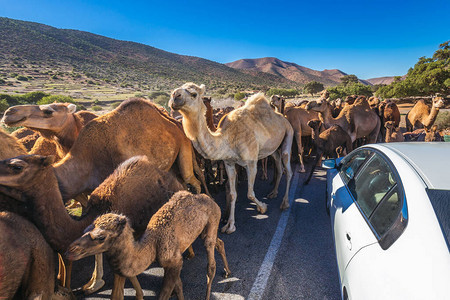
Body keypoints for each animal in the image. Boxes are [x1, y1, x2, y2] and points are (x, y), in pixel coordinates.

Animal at [67, 190, 232, 300]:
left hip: (213, 218)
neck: (152, 244)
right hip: (203, 229)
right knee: (219, 242)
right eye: (86, 229)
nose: (70, 250)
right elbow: (178, 287)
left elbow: (165, 293)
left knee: (210, 260)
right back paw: (228, 271)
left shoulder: (175, 261)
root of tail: (208, 198)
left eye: (101, 237)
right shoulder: (170, 263)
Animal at [171, 82, 294, 234]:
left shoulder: (251, 162)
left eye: (194, 94)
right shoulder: (229, 163)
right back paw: (273, 193)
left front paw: (263, 207)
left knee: (288, 169)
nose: (175, 96)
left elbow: (249, 193)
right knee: (278, 165)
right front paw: (229, 225)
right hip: (273, 149)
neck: (227, 138)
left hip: (289, 134)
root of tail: (283, 117)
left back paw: (285, 203)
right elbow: (232, 194)